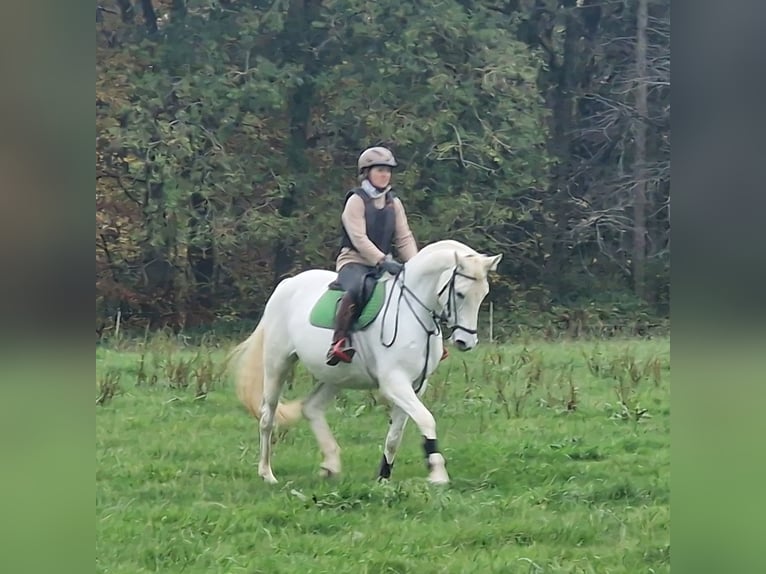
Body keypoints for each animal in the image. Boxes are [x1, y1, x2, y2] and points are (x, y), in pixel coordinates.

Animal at [231, 238, 500, 486]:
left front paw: (383, 476)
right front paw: (437, 473)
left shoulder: (415, 386)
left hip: (336, 376)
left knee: (311, 408)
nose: (466, 341)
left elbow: (395, 435)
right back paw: (267, 473)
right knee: (267, 416)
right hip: (278, 364)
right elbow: (426, 419)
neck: (413, 312)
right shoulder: (394, 382)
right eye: (460, 293)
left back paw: (330, 465)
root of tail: (287, 284)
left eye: (484, 294)